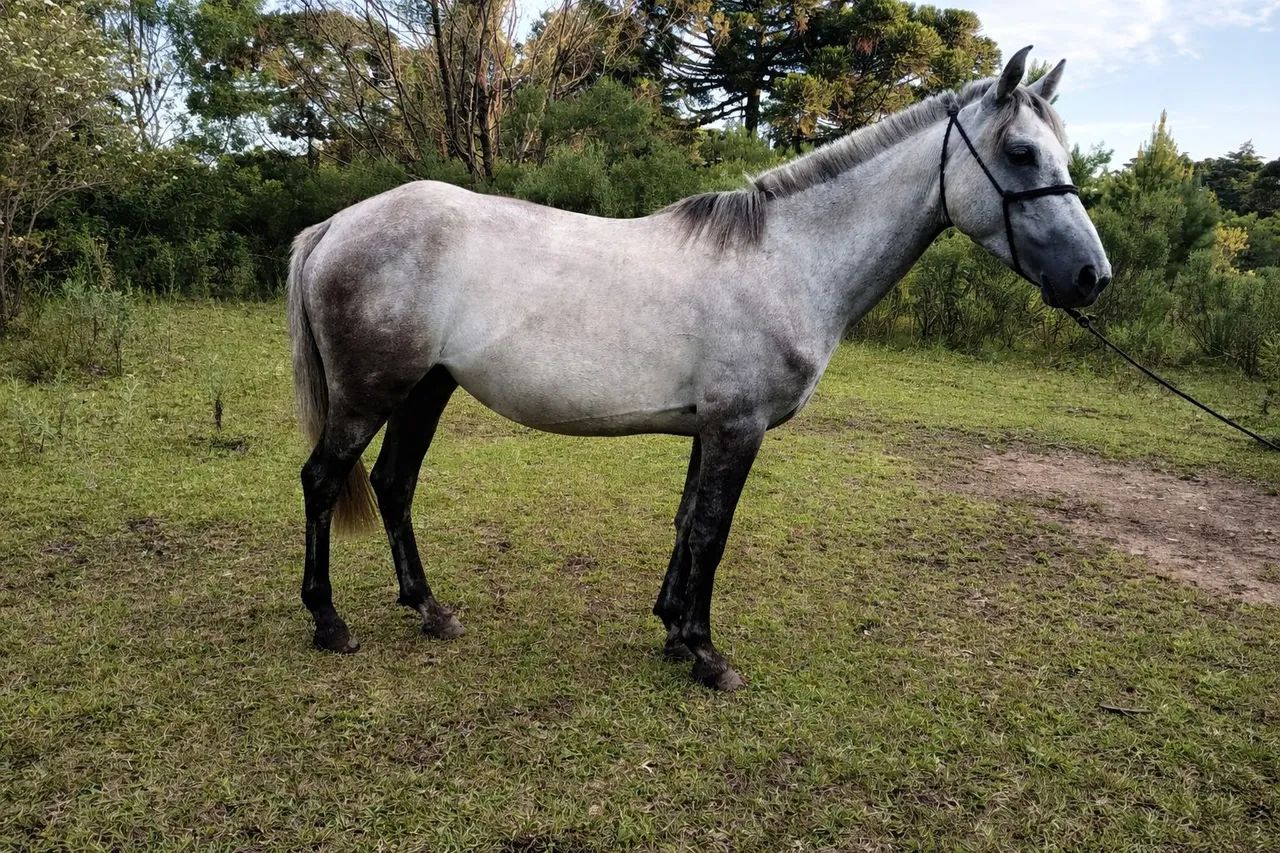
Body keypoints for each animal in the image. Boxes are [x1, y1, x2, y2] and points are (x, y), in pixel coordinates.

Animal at [286, 46, 1111, 691]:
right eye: (1020, 153)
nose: (1091, 276)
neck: (786, 259)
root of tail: (336, 226)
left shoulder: (707, 428)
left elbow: (687, 521)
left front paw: (674, 630)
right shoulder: (737, 428)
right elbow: (713, 529)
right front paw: (708, 654)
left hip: (425, 388)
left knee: (393, 484)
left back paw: (431, 609)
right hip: (370, 395)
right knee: (323, 480)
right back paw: (329, 621)